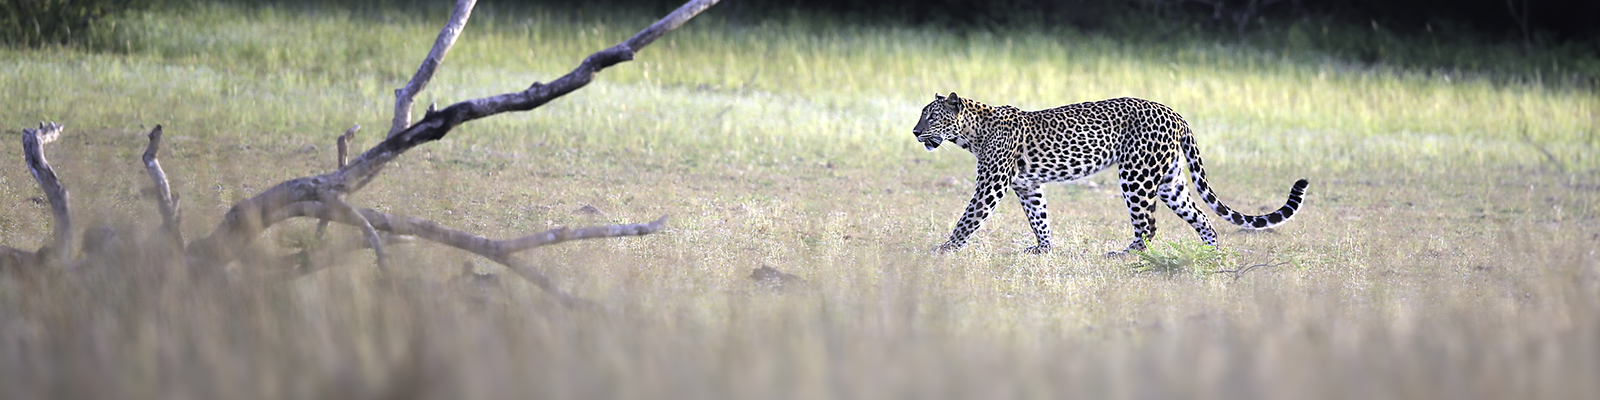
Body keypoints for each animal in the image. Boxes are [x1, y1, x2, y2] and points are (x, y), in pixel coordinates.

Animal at [911, 92, 1309, 255]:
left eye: (930, 116)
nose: (915, 132)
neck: (971, 132)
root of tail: (1176, 114)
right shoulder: (1028, 185)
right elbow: (1039, 218)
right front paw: (1043, 249)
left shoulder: (991, 184)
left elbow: (968, 218)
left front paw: (944, 249)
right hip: (1169, 181)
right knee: (1201, 216)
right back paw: (1209, 254)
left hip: (1136, 175)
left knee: (1149, 225)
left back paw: (1126, 253)